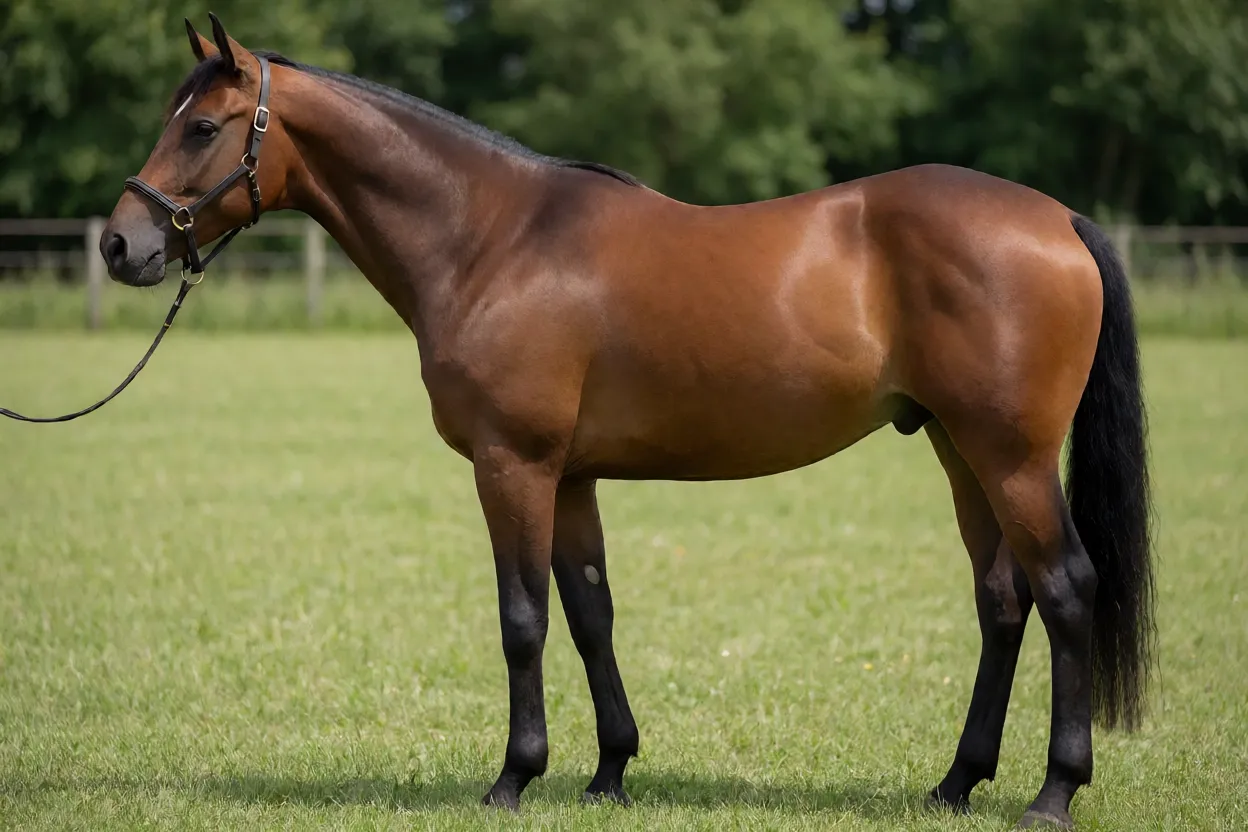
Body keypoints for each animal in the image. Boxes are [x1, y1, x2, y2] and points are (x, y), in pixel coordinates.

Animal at [101, 16, 1154, 829]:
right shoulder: (569, 476)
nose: (120, 244)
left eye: (202, 127)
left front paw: (513, 776)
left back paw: (1052, 793)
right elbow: (590, 613)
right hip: (958, 450)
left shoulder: (512, 466)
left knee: (1066, 589)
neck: (494, 240)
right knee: (1003, 600)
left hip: (1011, 458)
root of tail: (1058, 220)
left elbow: (523, 619)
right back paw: (955, 783)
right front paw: (609, 771)